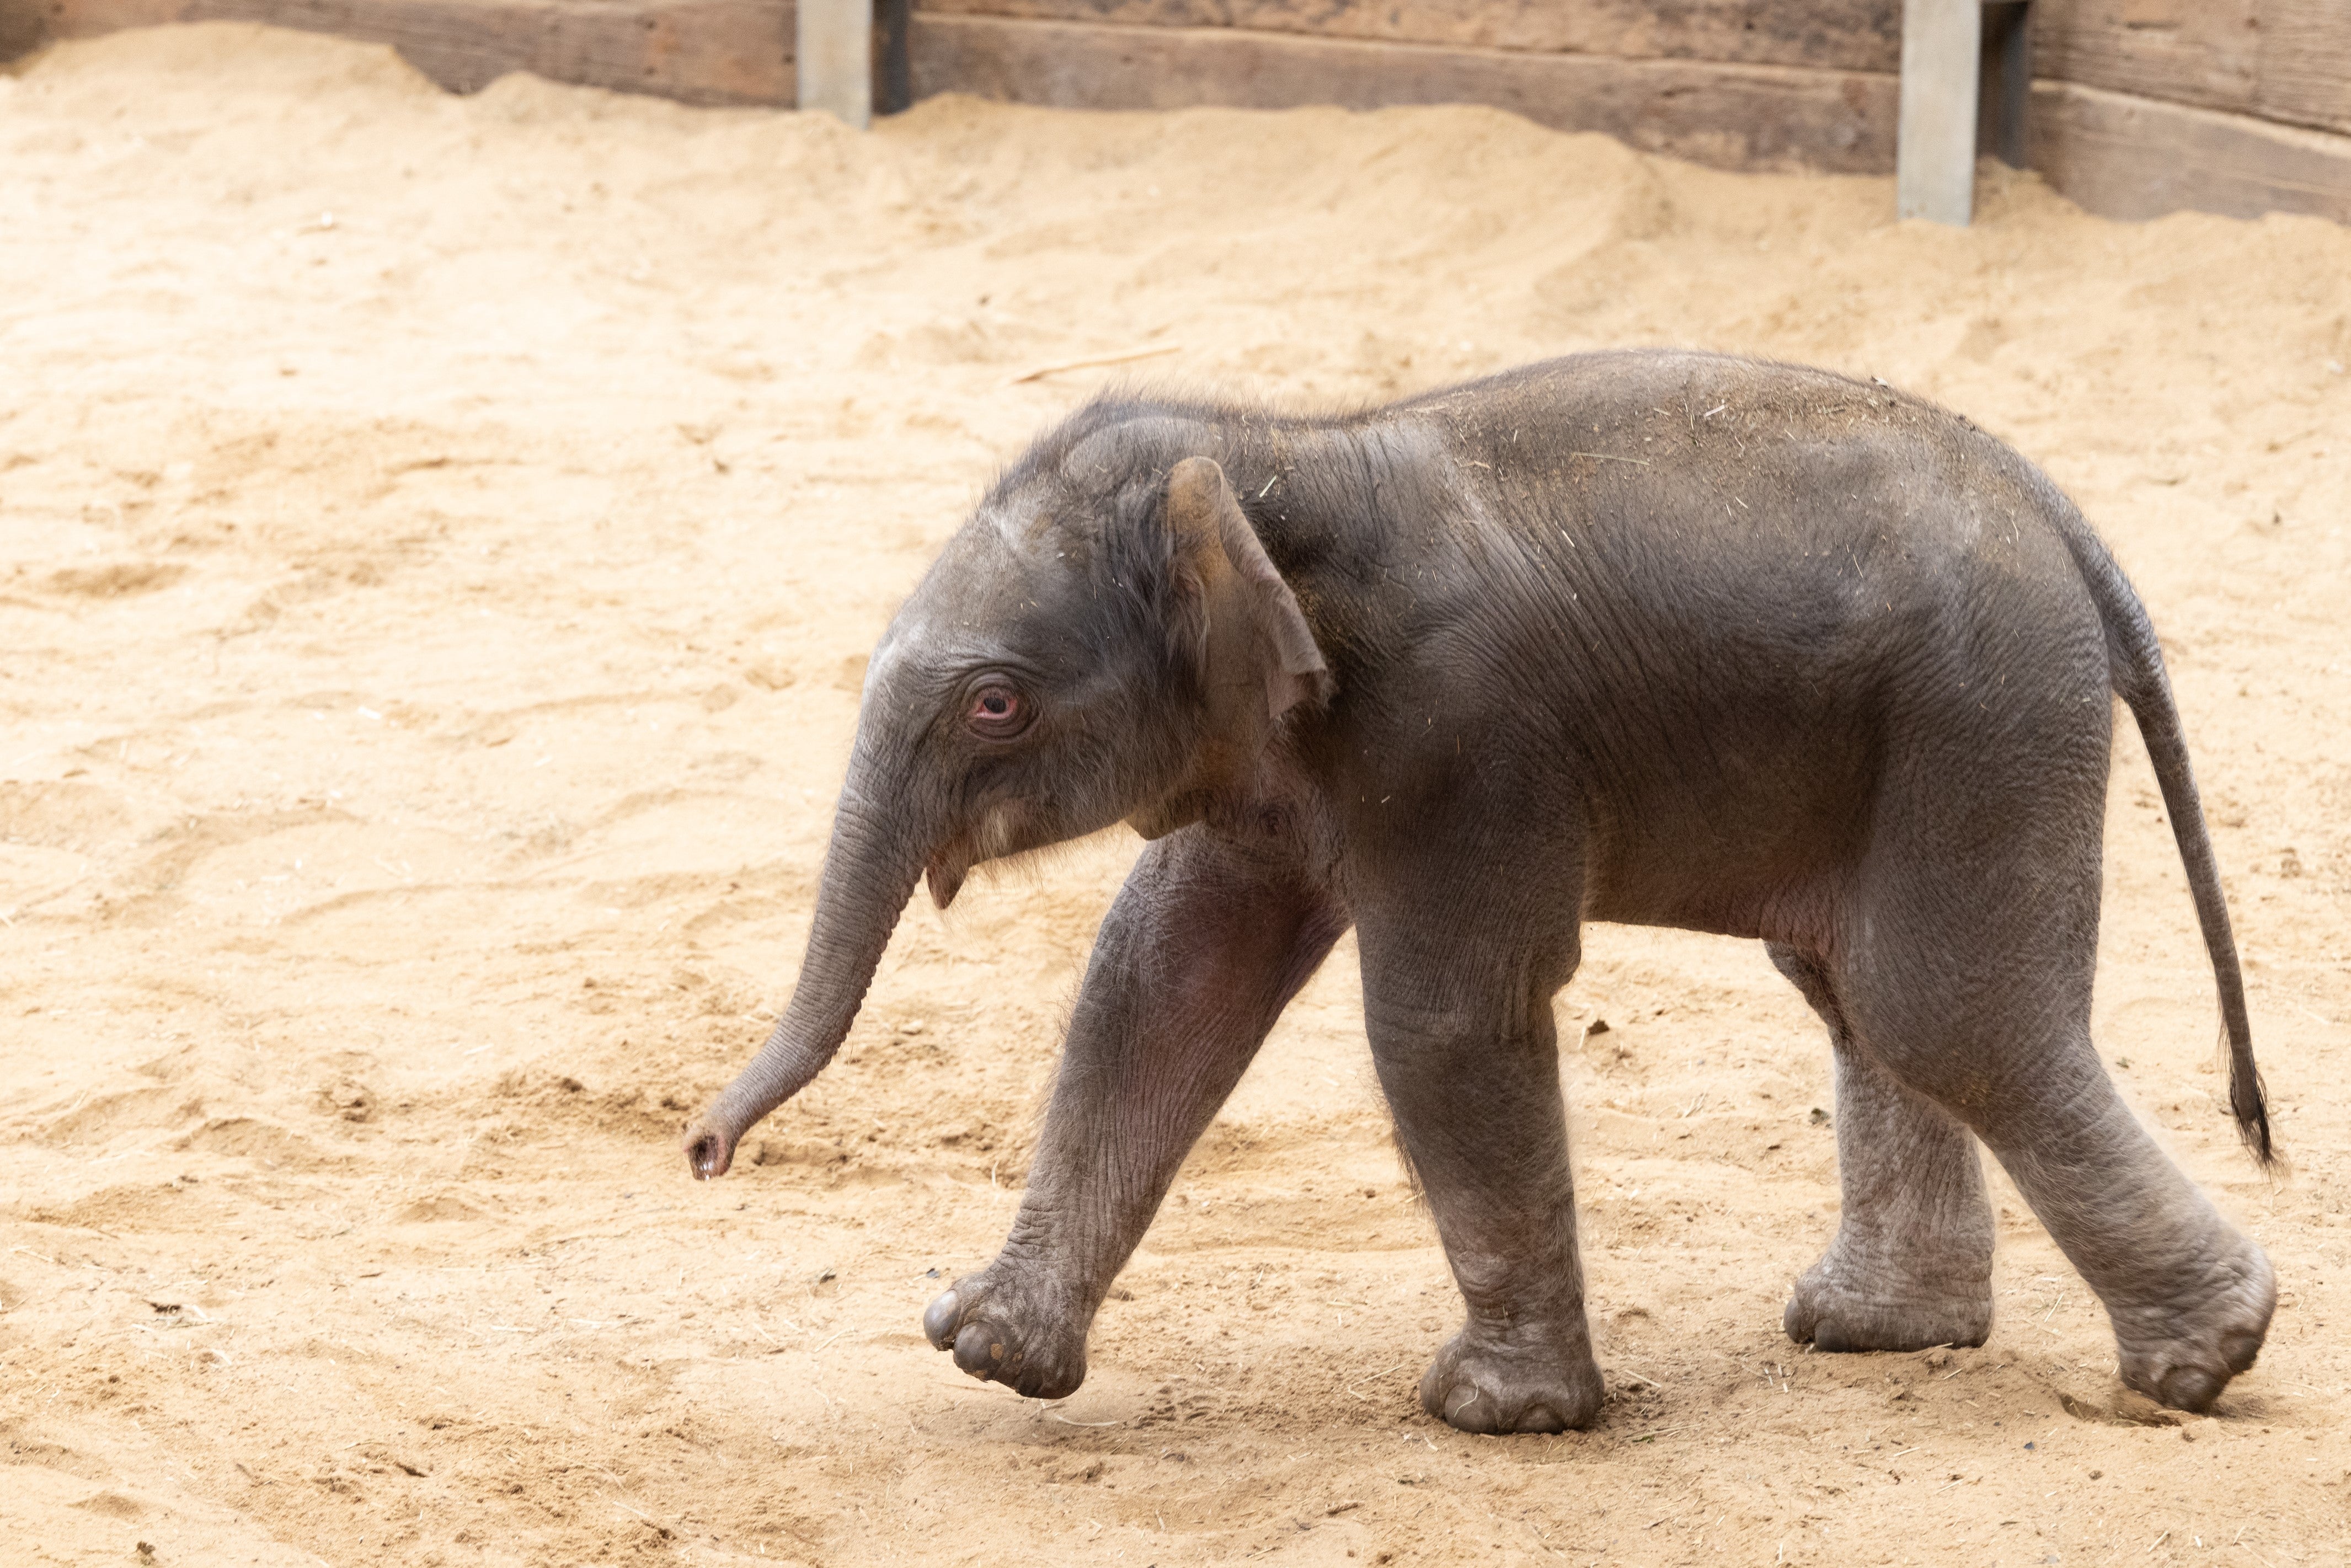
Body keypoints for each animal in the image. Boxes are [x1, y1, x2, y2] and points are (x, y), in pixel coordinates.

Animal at [681, 352, 2275, 1438]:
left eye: (995, 701)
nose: (699, 1152)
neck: (1277, 454)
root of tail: (2056, 517)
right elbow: (1157, 980)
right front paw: (988, 1353)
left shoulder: (1459, 737)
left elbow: (1440, 1022)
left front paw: (1495, 1416)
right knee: (1854, 992)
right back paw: (1877, 1331)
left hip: (1978, 717)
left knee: (1942, 1010)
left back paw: (2202, 1360)